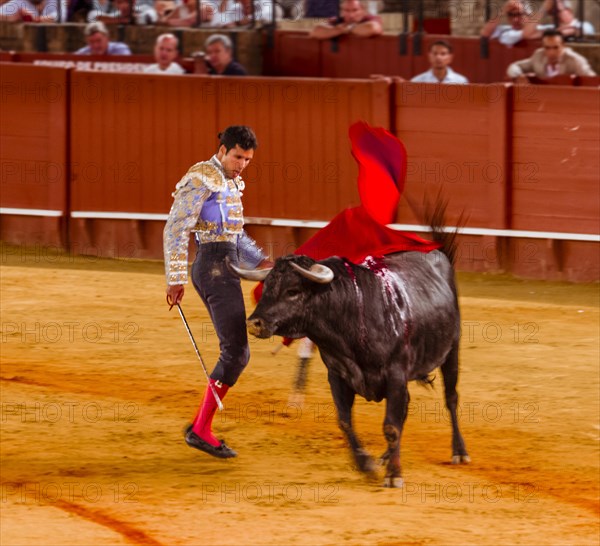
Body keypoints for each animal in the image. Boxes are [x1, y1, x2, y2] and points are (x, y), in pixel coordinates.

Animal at [230, 236, 468, 486]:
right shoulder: (337, 375)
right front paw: (366, 464)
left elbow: (391, 426)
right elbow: (346, 421)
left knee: (451, 398)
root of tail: (438, 254)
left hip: (452, 350)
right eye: (266, 287)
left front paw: (394, 475)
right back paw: (385, 457)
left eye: (292, 291)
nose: (254, 323)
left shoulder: (395, 374)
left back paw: (458, 451)